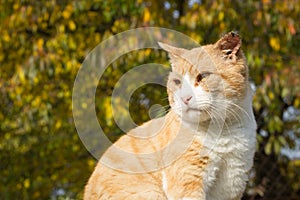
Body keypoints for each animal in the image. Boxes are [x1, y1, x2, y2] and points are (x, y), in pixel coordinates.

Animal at [83, 31, 256, 200]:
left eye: (203, 76)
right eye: (177, 82)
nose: (185, 98)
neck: (225, 129)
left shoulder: (232, 182)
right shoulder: (188, 182)